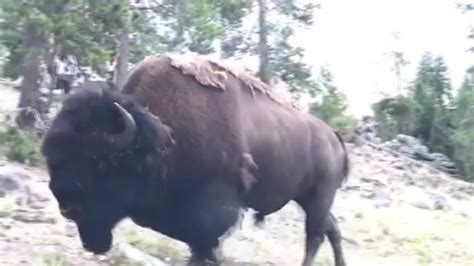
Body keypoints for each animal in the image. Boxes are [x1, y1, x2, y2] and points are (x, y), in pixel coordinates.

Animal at [41, 53, 348, 264]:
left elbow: (205, 248)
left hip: (318, 198)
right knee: (331, 227)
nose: (67, 206)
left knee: (315, 235)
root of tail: (334, 137)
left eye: (100, 162)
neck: (164, 138)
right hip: (307, 199)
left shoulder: (213, 221)